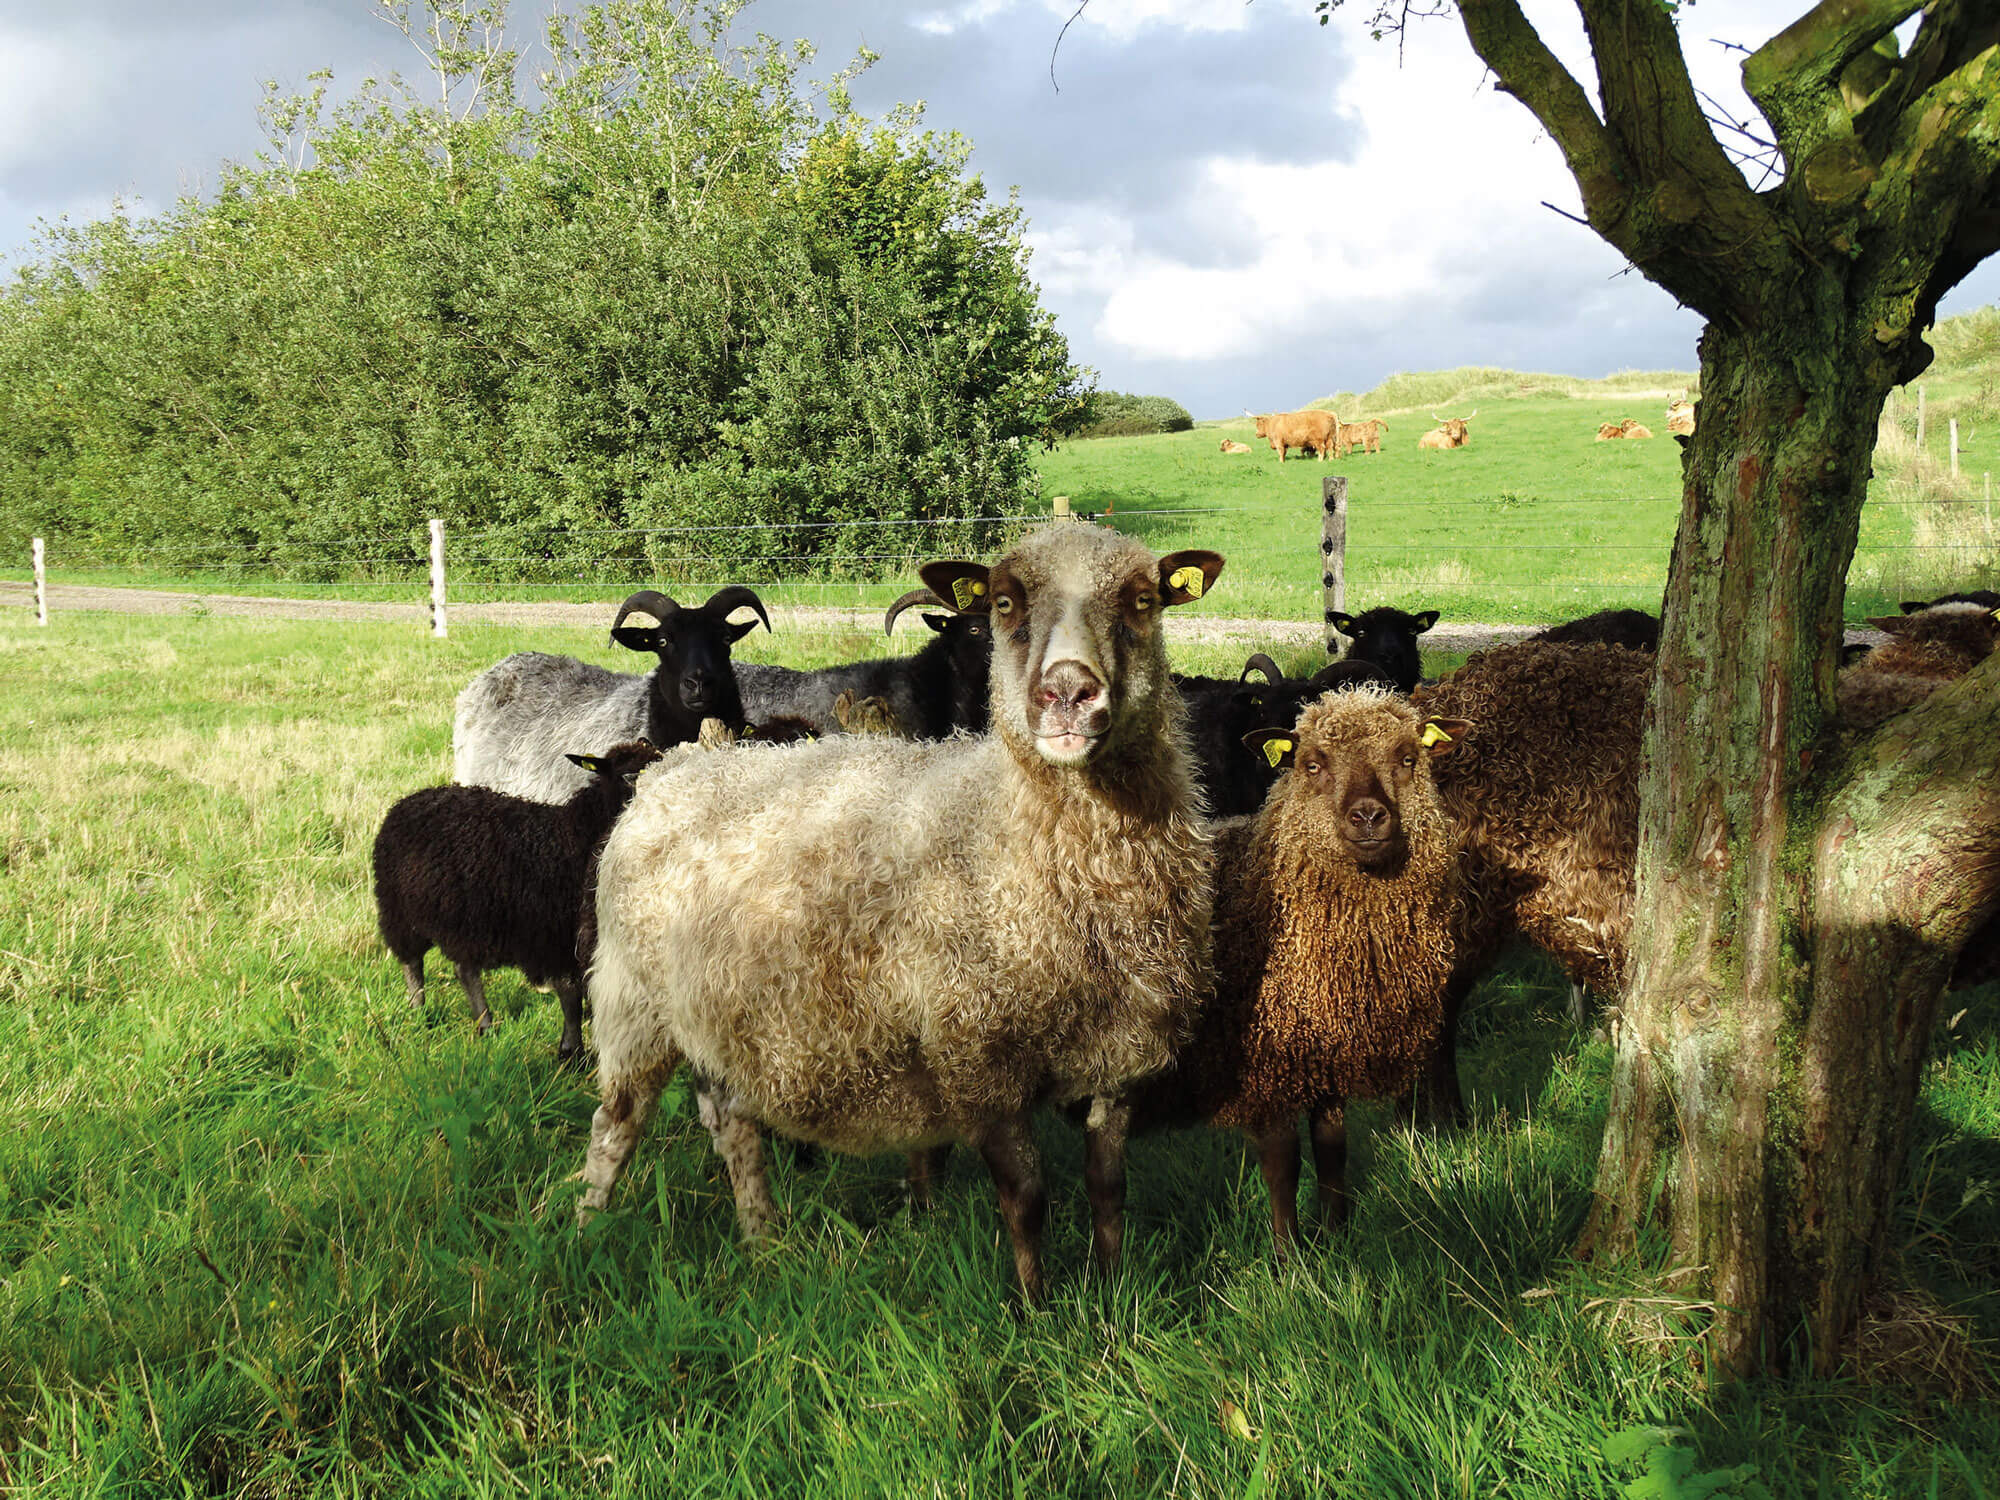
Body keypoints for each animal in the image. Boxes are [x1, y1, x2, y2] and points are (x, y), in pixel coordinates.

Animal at [1096, 692, 1472, 1256]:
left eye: (1409, 758)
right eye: (1311, 765)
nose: (1368, 817)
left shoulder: (1328, 1057)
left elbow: (1333, 1151)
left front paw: (1337, 1237)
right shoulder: (1265, 1066)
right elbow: (1283, 1164)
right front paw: (1289, 1256)